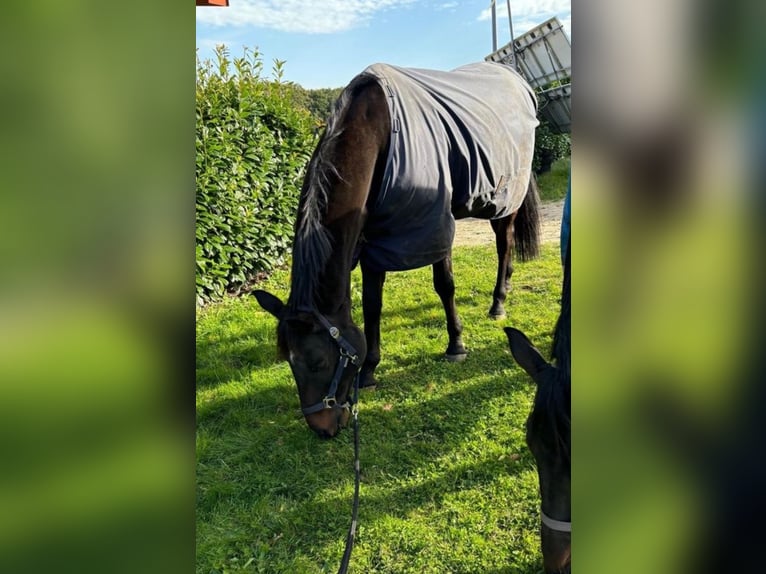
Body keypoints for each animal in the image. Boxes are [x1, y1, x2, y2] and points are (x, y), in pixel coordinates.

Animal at [255, 62, 540, 438]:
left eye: (317, 361)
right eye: (288, 361)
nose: (322, 428)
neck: (379, 132)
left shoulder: (435, 226)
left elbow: (444, 286)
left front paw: (456, 345)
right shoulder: (374, 241)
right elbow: (372, 305)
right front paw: (369, 370)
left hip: (502, 199)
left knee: (503, 244)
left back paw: (498, 302)